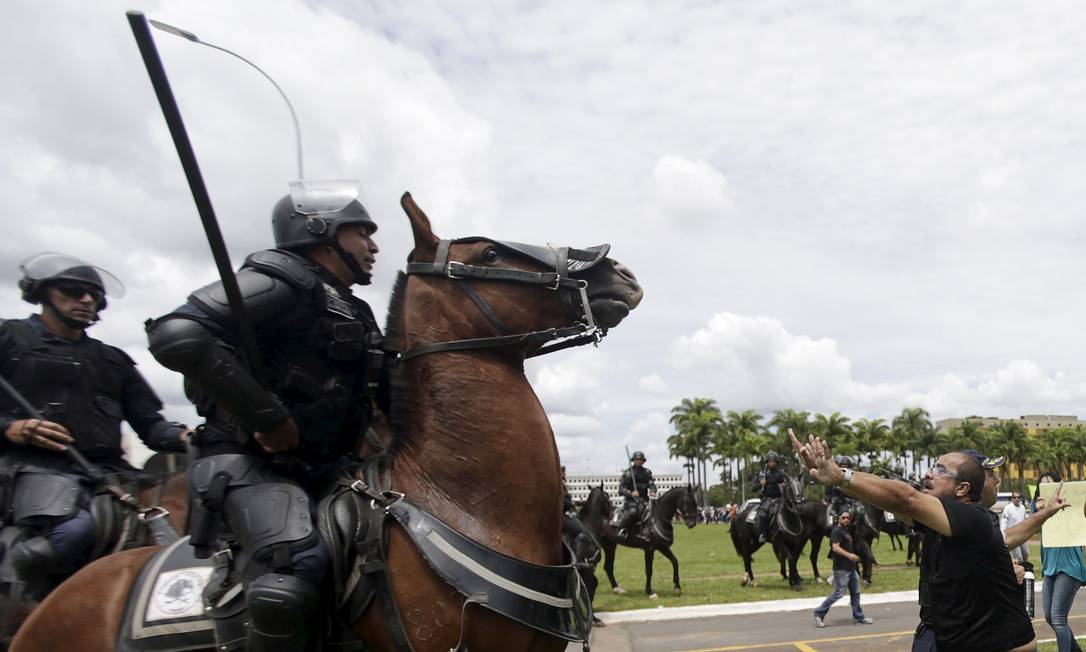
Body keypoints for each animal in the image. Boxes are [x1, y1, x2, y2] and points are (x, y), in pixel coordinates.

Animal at [10, 193, 642, 652]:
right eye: (487, 254)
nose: (618, 272)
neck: (464, 507)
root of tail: (53, 605)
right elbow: (182, 330)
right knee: (281, 589)